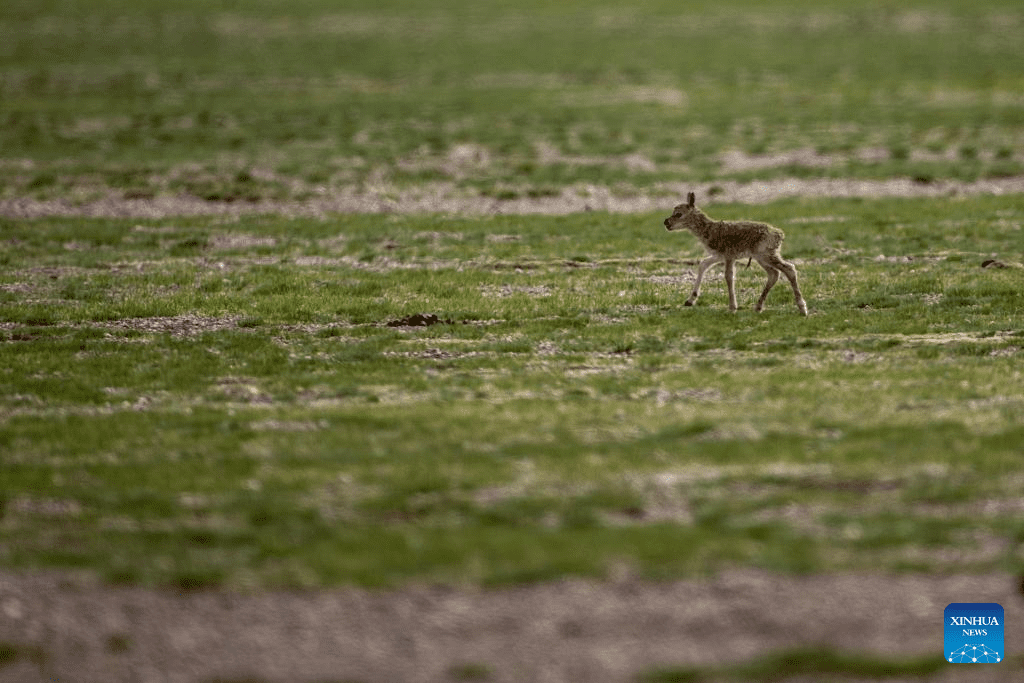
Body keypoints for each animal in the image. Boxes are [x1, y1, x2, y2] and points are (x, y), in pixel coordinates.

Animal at [663, 192, 806, 315]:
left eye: (678, 214)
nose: (666, 222)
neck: (710, 229)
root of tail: (780, 234)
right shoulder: (718, 255)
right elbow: (703, 265)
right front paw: (690, 301)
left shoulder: (729, 256)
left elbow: (728, 276)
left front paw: (732, 307)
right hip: (761, 258)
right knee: (774, 274)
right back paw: (758, 307)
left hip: (767, 256)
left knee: (789, 269)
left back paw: (802, 309)